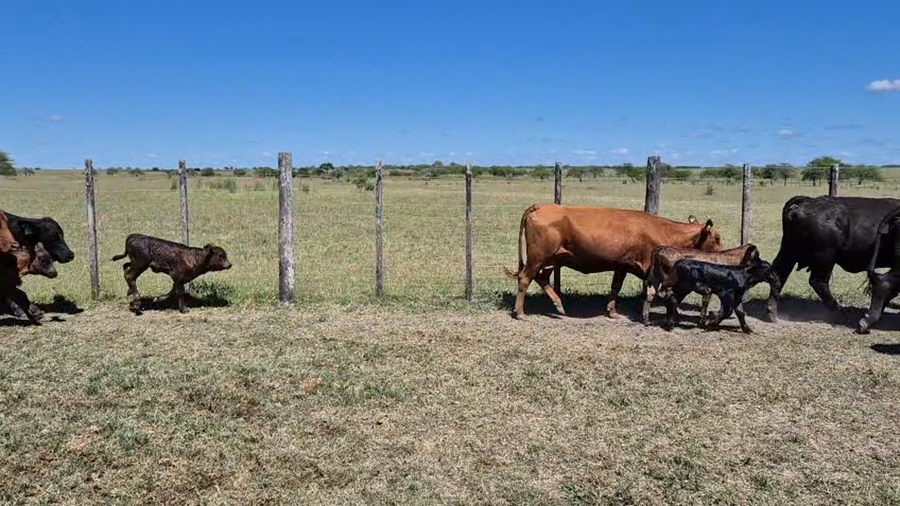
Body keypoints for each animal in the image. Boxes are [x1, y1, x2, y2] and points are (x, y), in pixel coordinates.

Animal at [503, 204, 723, 320]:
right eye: (717, 238)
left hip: (550, 260)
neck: (663, 231)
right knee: (524, 278)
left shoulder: (621, 265)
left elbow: (615, 287)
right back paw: (520, 312)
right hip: (537, 257)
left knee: (541, 278)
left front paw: (612, 311)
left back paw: (559, 306)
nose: (723, 253)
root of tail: (541, 206)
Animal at [765, 196, 900, 324]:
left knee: (778, 275)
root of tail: (808, 201)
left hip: (789, 252)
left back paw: (772, 314)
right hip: (825, 258)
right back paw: (840, 313)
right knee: (818, 282)